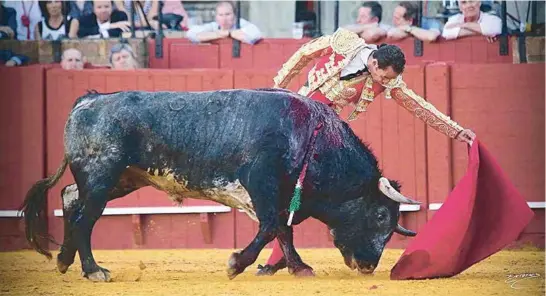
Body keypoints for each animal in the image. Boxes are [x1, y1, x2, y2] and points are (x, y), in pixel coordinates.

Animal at [19, 87, 418, 282]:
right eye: (381, 216)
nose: (368, 265)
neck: (312, 139)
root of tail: (89, 99)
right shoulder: (261, 182)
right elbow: (271, 227)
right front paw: (236, 263)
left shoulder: (283, 196)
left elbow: (282, 231)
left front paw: (298, 268)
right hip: (103, 176)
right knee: (85, 217)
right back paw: (93, 270)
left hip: (120, 178)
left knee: (71, 198)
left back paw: (63, 261)